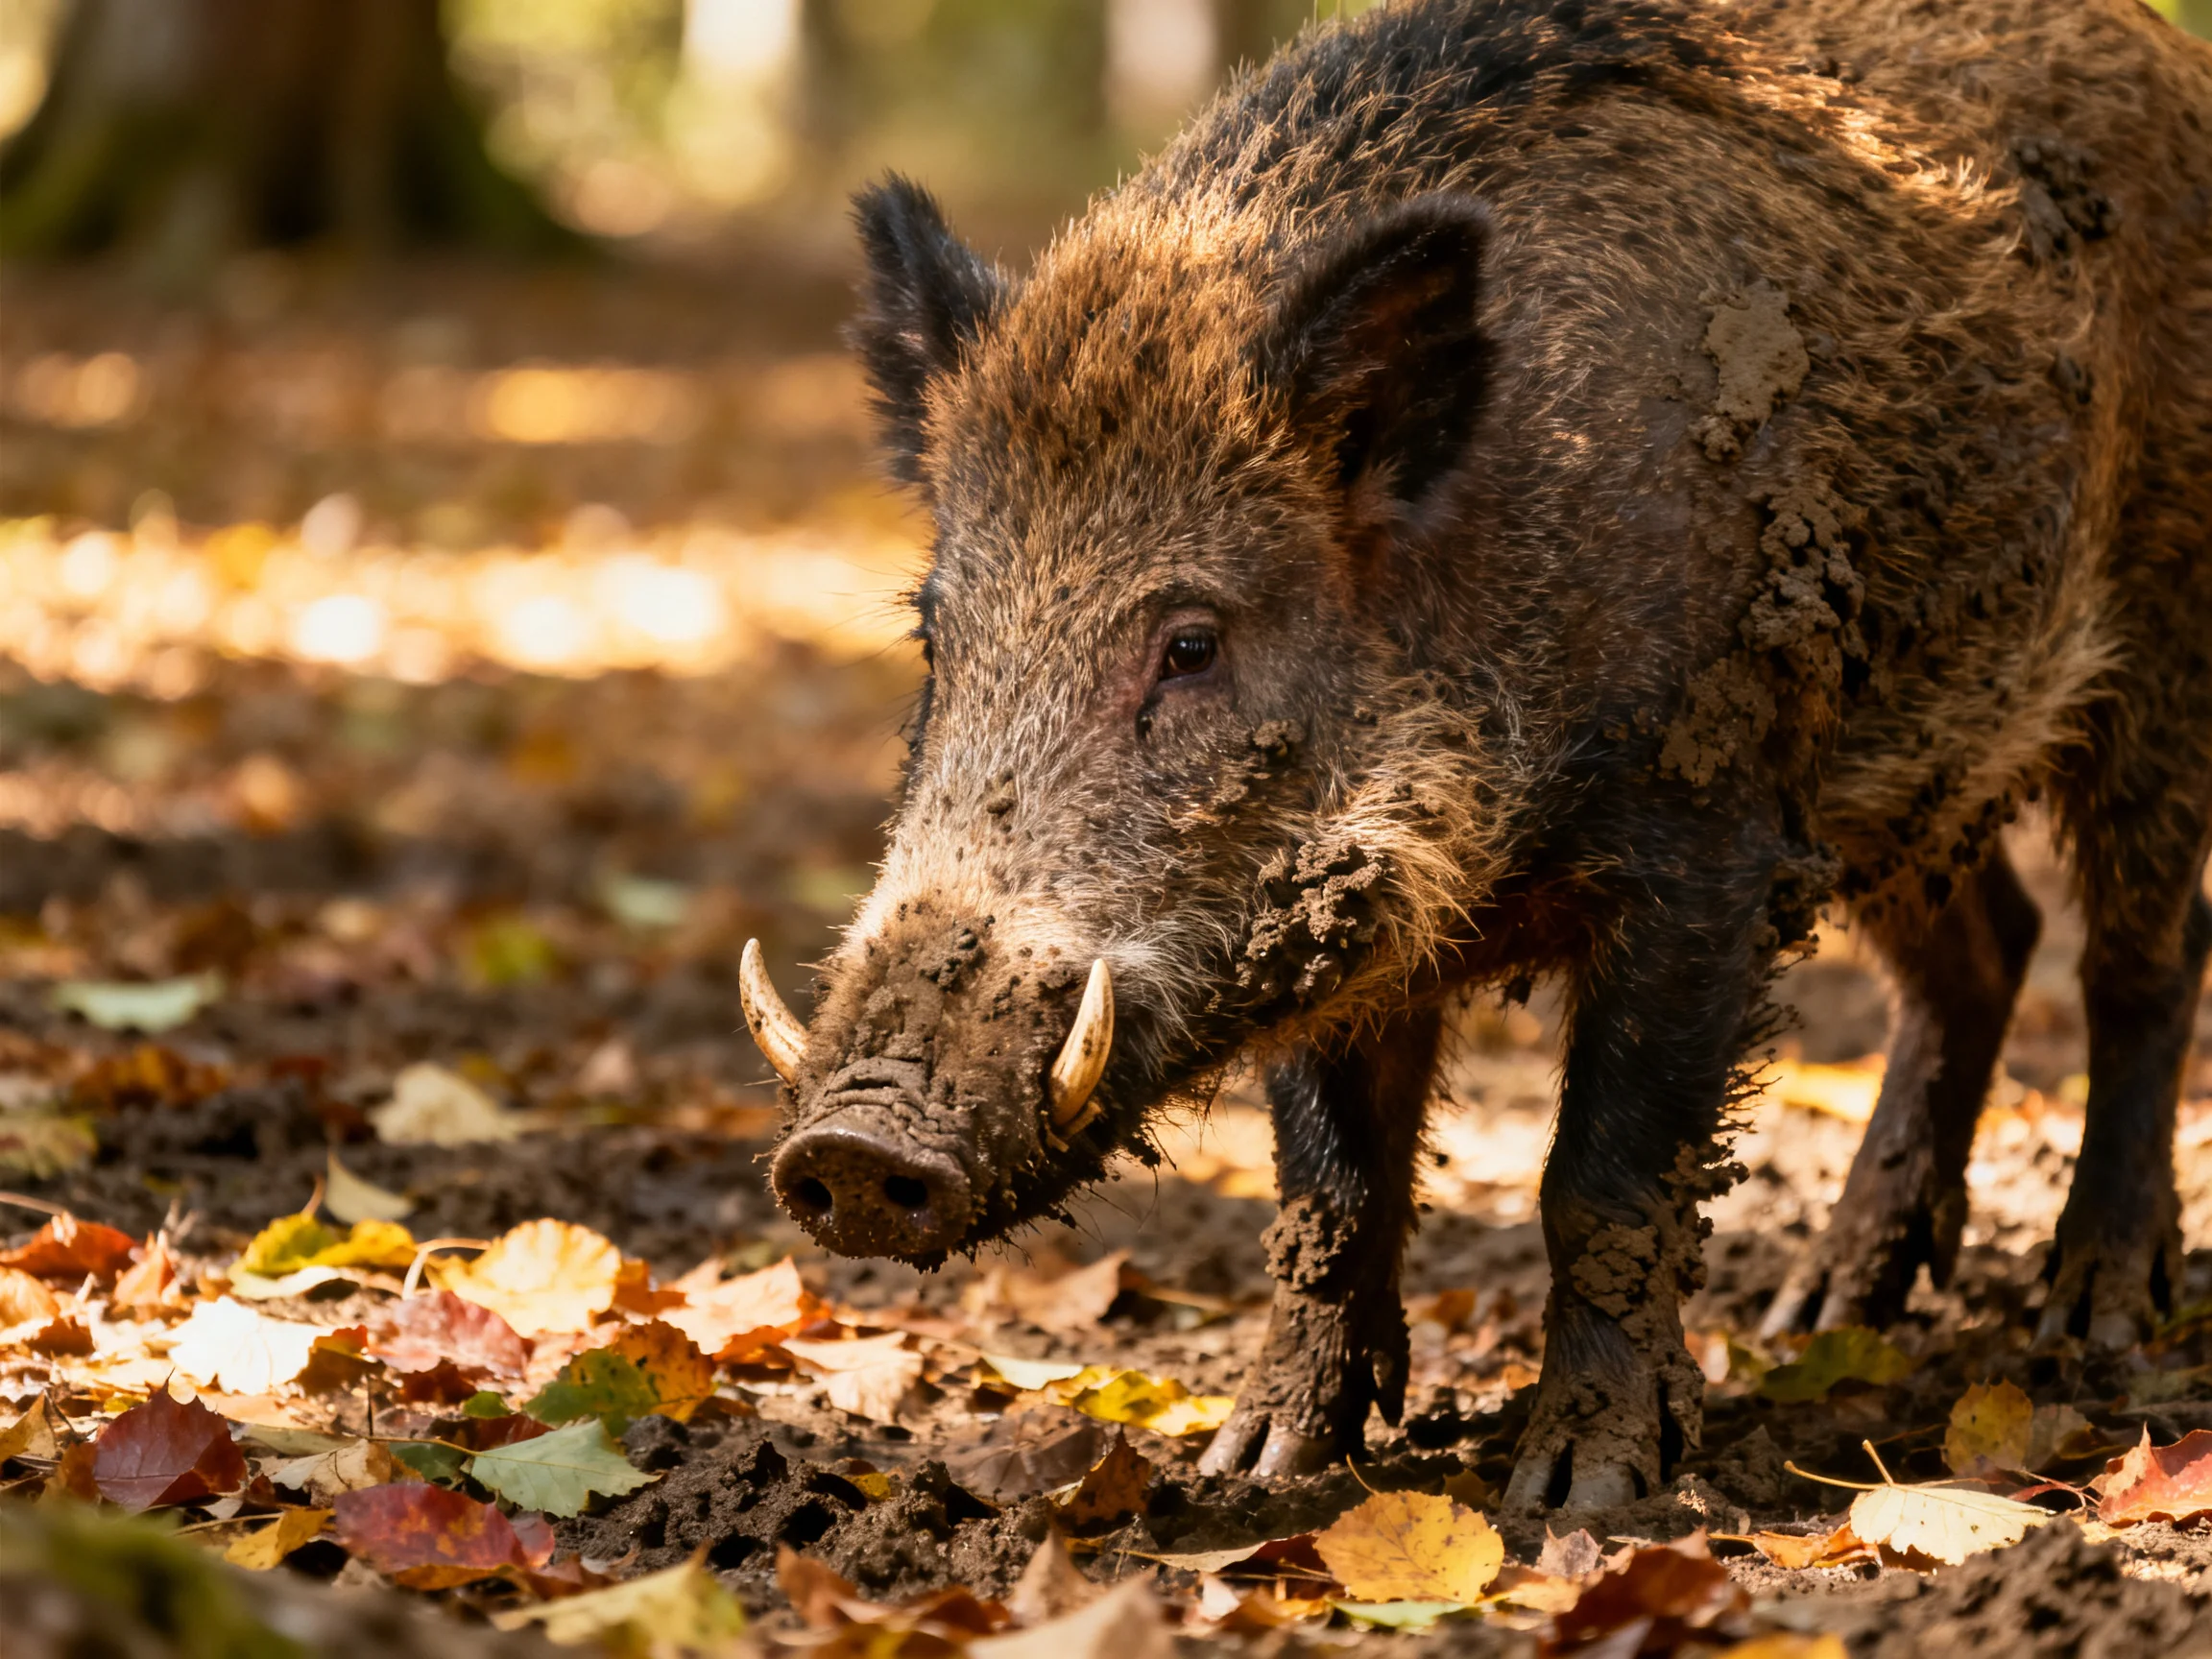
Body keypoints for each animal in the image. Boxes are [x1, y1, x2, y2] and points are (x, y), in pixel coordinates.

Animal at [739, 0, 2212, 1507]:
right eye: (935, 639)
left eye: (1192, 643)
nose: (849, 1143)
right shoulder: (1315, 914)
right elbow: (1330, 1188)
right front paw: (1257, 1470)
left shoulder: (1706, 845)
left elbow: (1603, 1178)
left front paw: (1581, 1495)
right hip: (1899, 776)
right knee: (1985, 953)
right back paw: (1829, 1308)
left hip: (2162, 644)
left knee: (2141, 961)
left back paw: (2095, 1316)